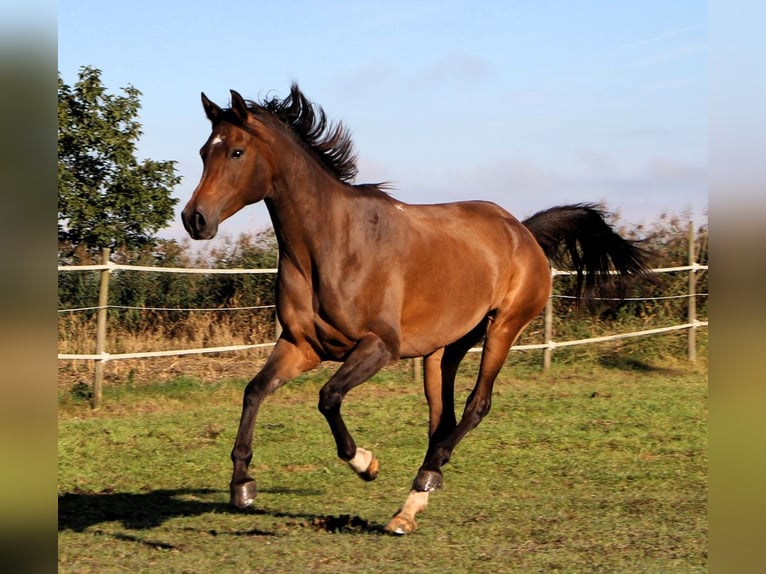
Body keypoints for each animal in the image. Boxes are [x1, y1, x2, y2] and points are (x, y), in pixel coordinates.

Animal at [182, 84, 648, 536]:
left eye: (236, 152)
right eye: (205, 151)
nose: (194, 219)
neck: (331, 244)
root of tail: (523, 232)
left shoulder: (380, 346)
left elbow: (329, 397)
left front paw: (366, 463)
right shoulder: (302, 344)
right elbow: (255, 390)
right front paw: (242, 485)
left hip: (503, 327)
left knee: (477, 405)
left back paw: (423, 481)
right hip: (443, 351)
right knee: (442, 417)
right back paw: (411, 506)